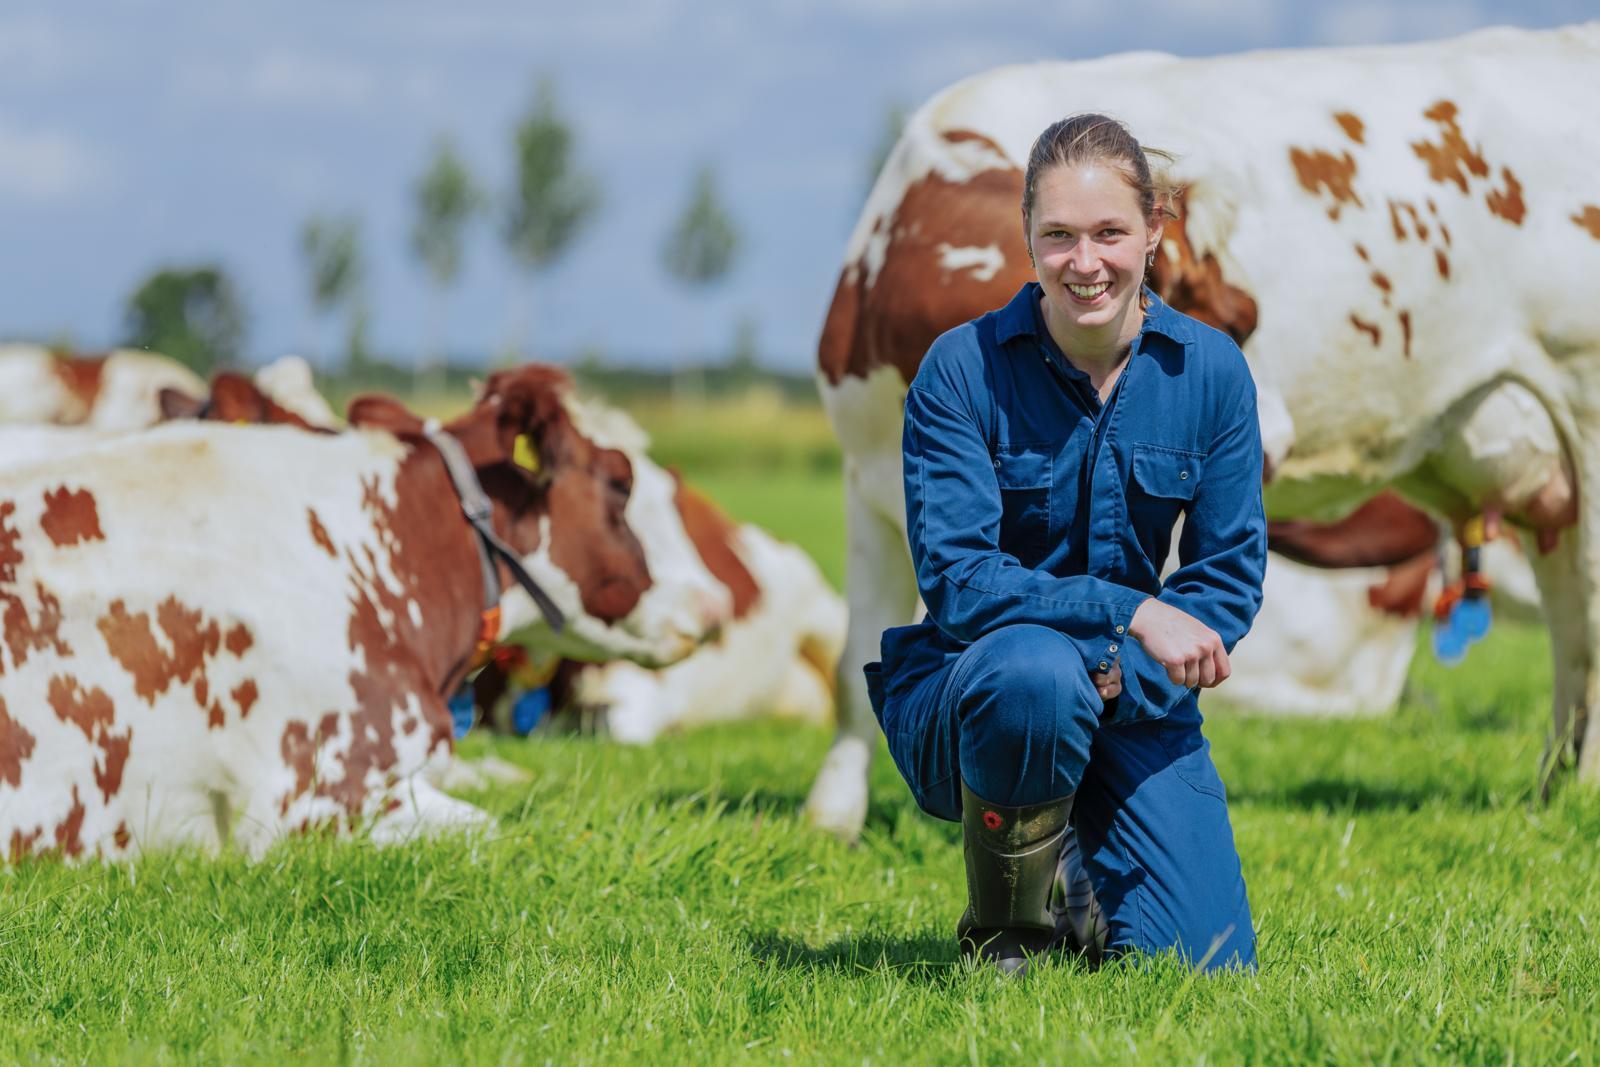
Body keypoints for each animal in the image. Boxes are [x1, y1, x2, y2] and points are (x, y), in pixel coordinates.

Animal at [806, 18, 1593, 831]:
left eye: (1231, 316)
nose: (1256, 422)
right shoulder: (868, 481)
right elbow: (855, 663)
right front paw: (833, 817)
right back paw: (1553, 786)